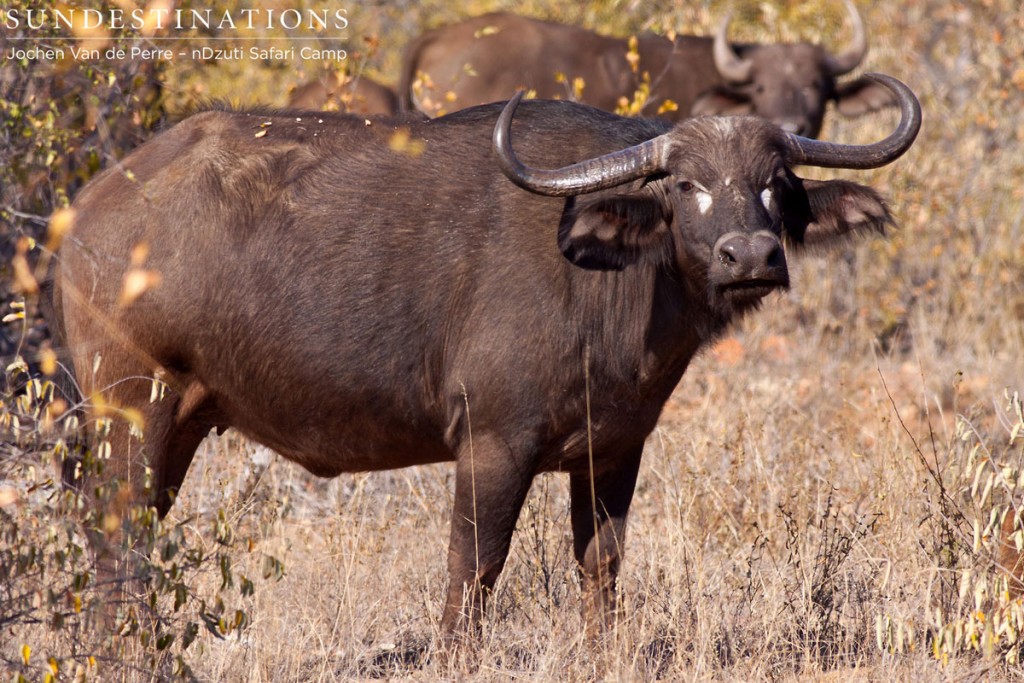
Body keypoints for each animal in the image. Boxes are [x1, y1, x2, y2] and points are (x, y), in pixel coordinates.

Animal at [48, 74, 921, 647]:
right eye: (684, 184)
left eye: (776, 184)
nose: (752, 256)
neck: (609, 278)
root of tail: (88, 209)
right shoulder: (492, 447)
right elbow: (473, 574)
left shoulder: (614, 452)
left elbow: (601, 568)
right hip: (133, 413)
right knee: (119, 546)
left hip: (176, 426)